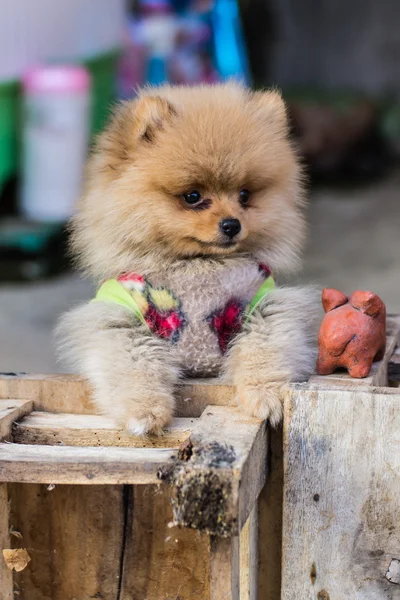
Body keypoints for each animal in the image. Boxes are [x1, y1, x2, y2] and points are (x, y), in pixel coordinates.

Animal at [57, 82, 318, 434]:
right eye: (193, 196)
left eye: (244, 195)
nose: (232, 224)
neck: (197, 266)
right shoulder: (121, 320)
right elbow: (134, 366)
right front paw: (144, 411)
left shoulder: (262, 306)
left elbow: (264, 348)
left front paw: (266, 395)